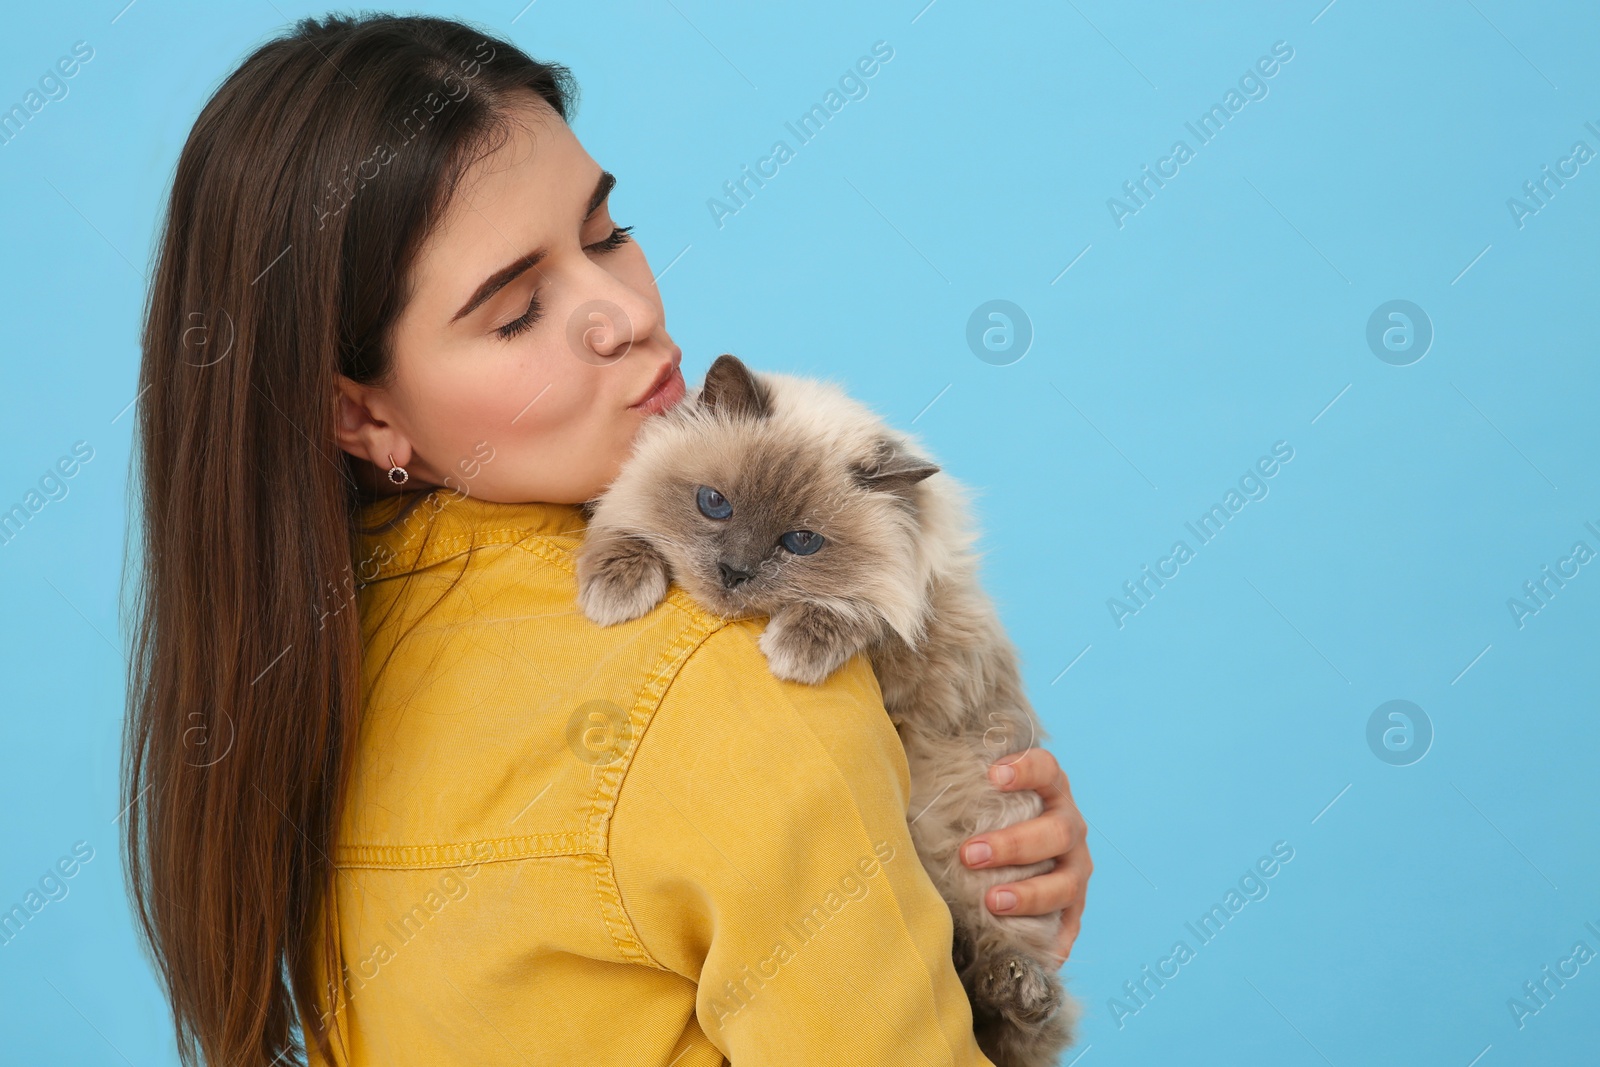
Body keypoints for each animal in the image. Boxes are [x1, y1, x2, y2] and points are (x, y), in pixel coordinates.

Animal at [572, 355, 1075, 1062]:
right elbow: (623, 522)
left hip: (983, 848)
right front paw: (614, 589)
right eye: (714, 504)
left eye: (802, 542)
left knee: (1018, 1006)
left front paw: (795, 648)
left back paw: (1017, 987)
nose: (734, 571)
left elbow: (863, 611)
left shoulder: (919, 640)